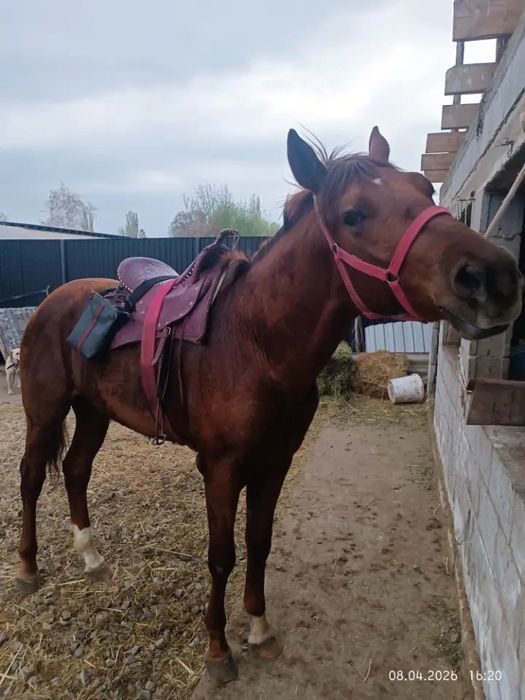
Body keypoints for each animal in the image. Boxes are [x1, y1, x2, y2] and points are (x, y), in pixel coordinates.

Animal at [16, 127, 522, 682]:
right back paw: (27, 569)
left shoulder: (275, 463)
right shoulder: (220, 469)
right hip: (45, 411)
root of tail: (49, 301)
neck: (256, 343)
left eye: (424, 189)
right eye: (353, 215)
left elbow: (259, 543)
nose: (494, 277)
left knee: (76, 470)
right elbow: (222, 555)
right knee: (31, 477)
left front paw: (259, 628)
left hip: (93, 411)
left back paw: (91, 558)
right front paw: (218, 650)